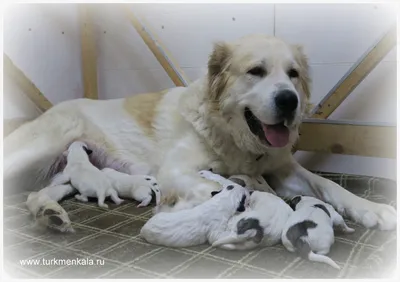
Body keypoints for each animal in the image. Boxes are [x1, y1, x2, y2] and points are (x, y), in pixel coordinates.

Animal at [3, 34, 396, 231]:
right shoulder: (175, 171)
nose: (290, 100)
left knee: (35, 194)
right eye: (256, 71)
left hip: (63, 173)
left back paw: (49, 214)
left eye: (293, 74)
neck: (233, 137)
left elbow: (328, 184)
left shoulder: (283, 168)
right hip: (38, 148)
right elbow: (226, 187)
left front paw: (371, 209)